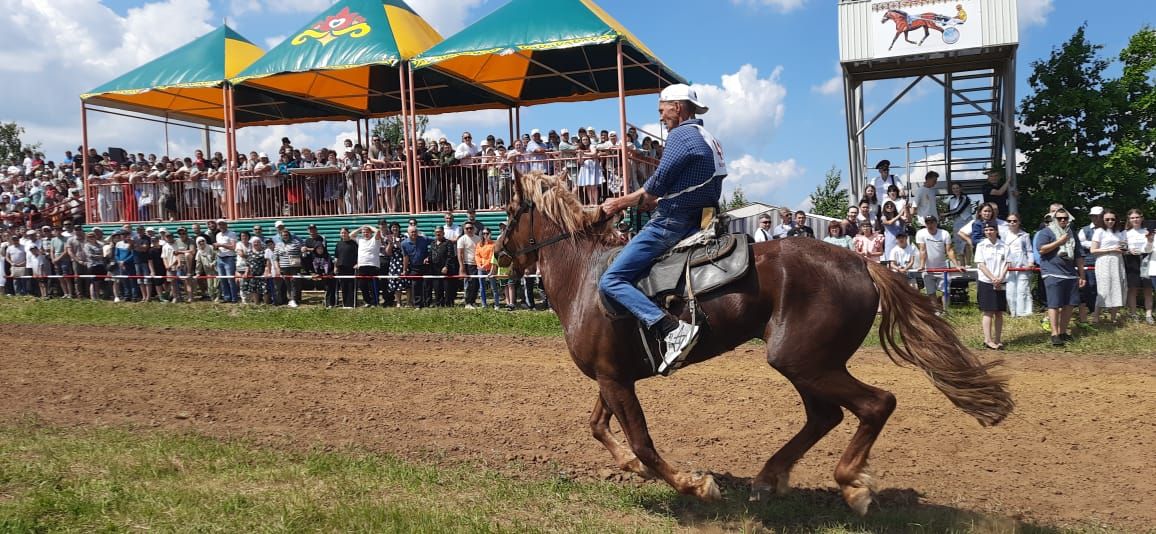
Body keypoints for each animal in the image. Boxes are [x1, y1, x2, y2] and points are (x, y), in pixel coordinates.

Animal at [497, 172, 1012, 513]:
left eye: (510, 212)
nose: (499, 253)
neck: (588, 278)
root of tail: (862, 264)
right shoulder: (613, 377)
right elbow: (598, 426)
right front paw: (629, 465)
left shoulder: (615, 380)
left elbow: (642, 442)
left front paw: (693, 484)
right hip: (806, 363)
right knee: (826, 415)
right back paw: (769, 478)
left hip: (803, 361)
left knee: (876, 404)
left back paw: (850, 484)